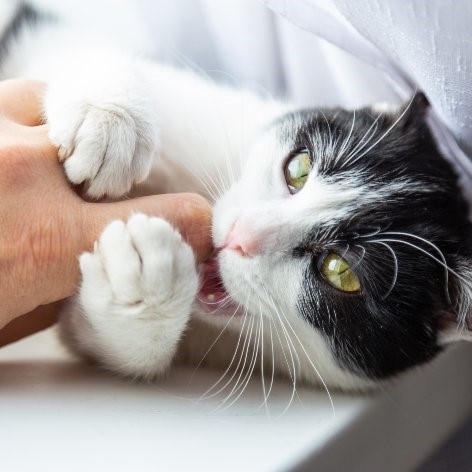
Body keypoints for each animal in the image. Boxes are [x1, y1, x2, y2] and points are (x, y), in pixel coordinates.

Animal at [0, 1, 470, 392]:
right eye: (298, 169)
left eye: (341, 272)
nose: (242, 235)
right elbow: (71, 44)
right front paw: (109, 116)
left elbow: (95, 339)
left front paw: (144, 283)